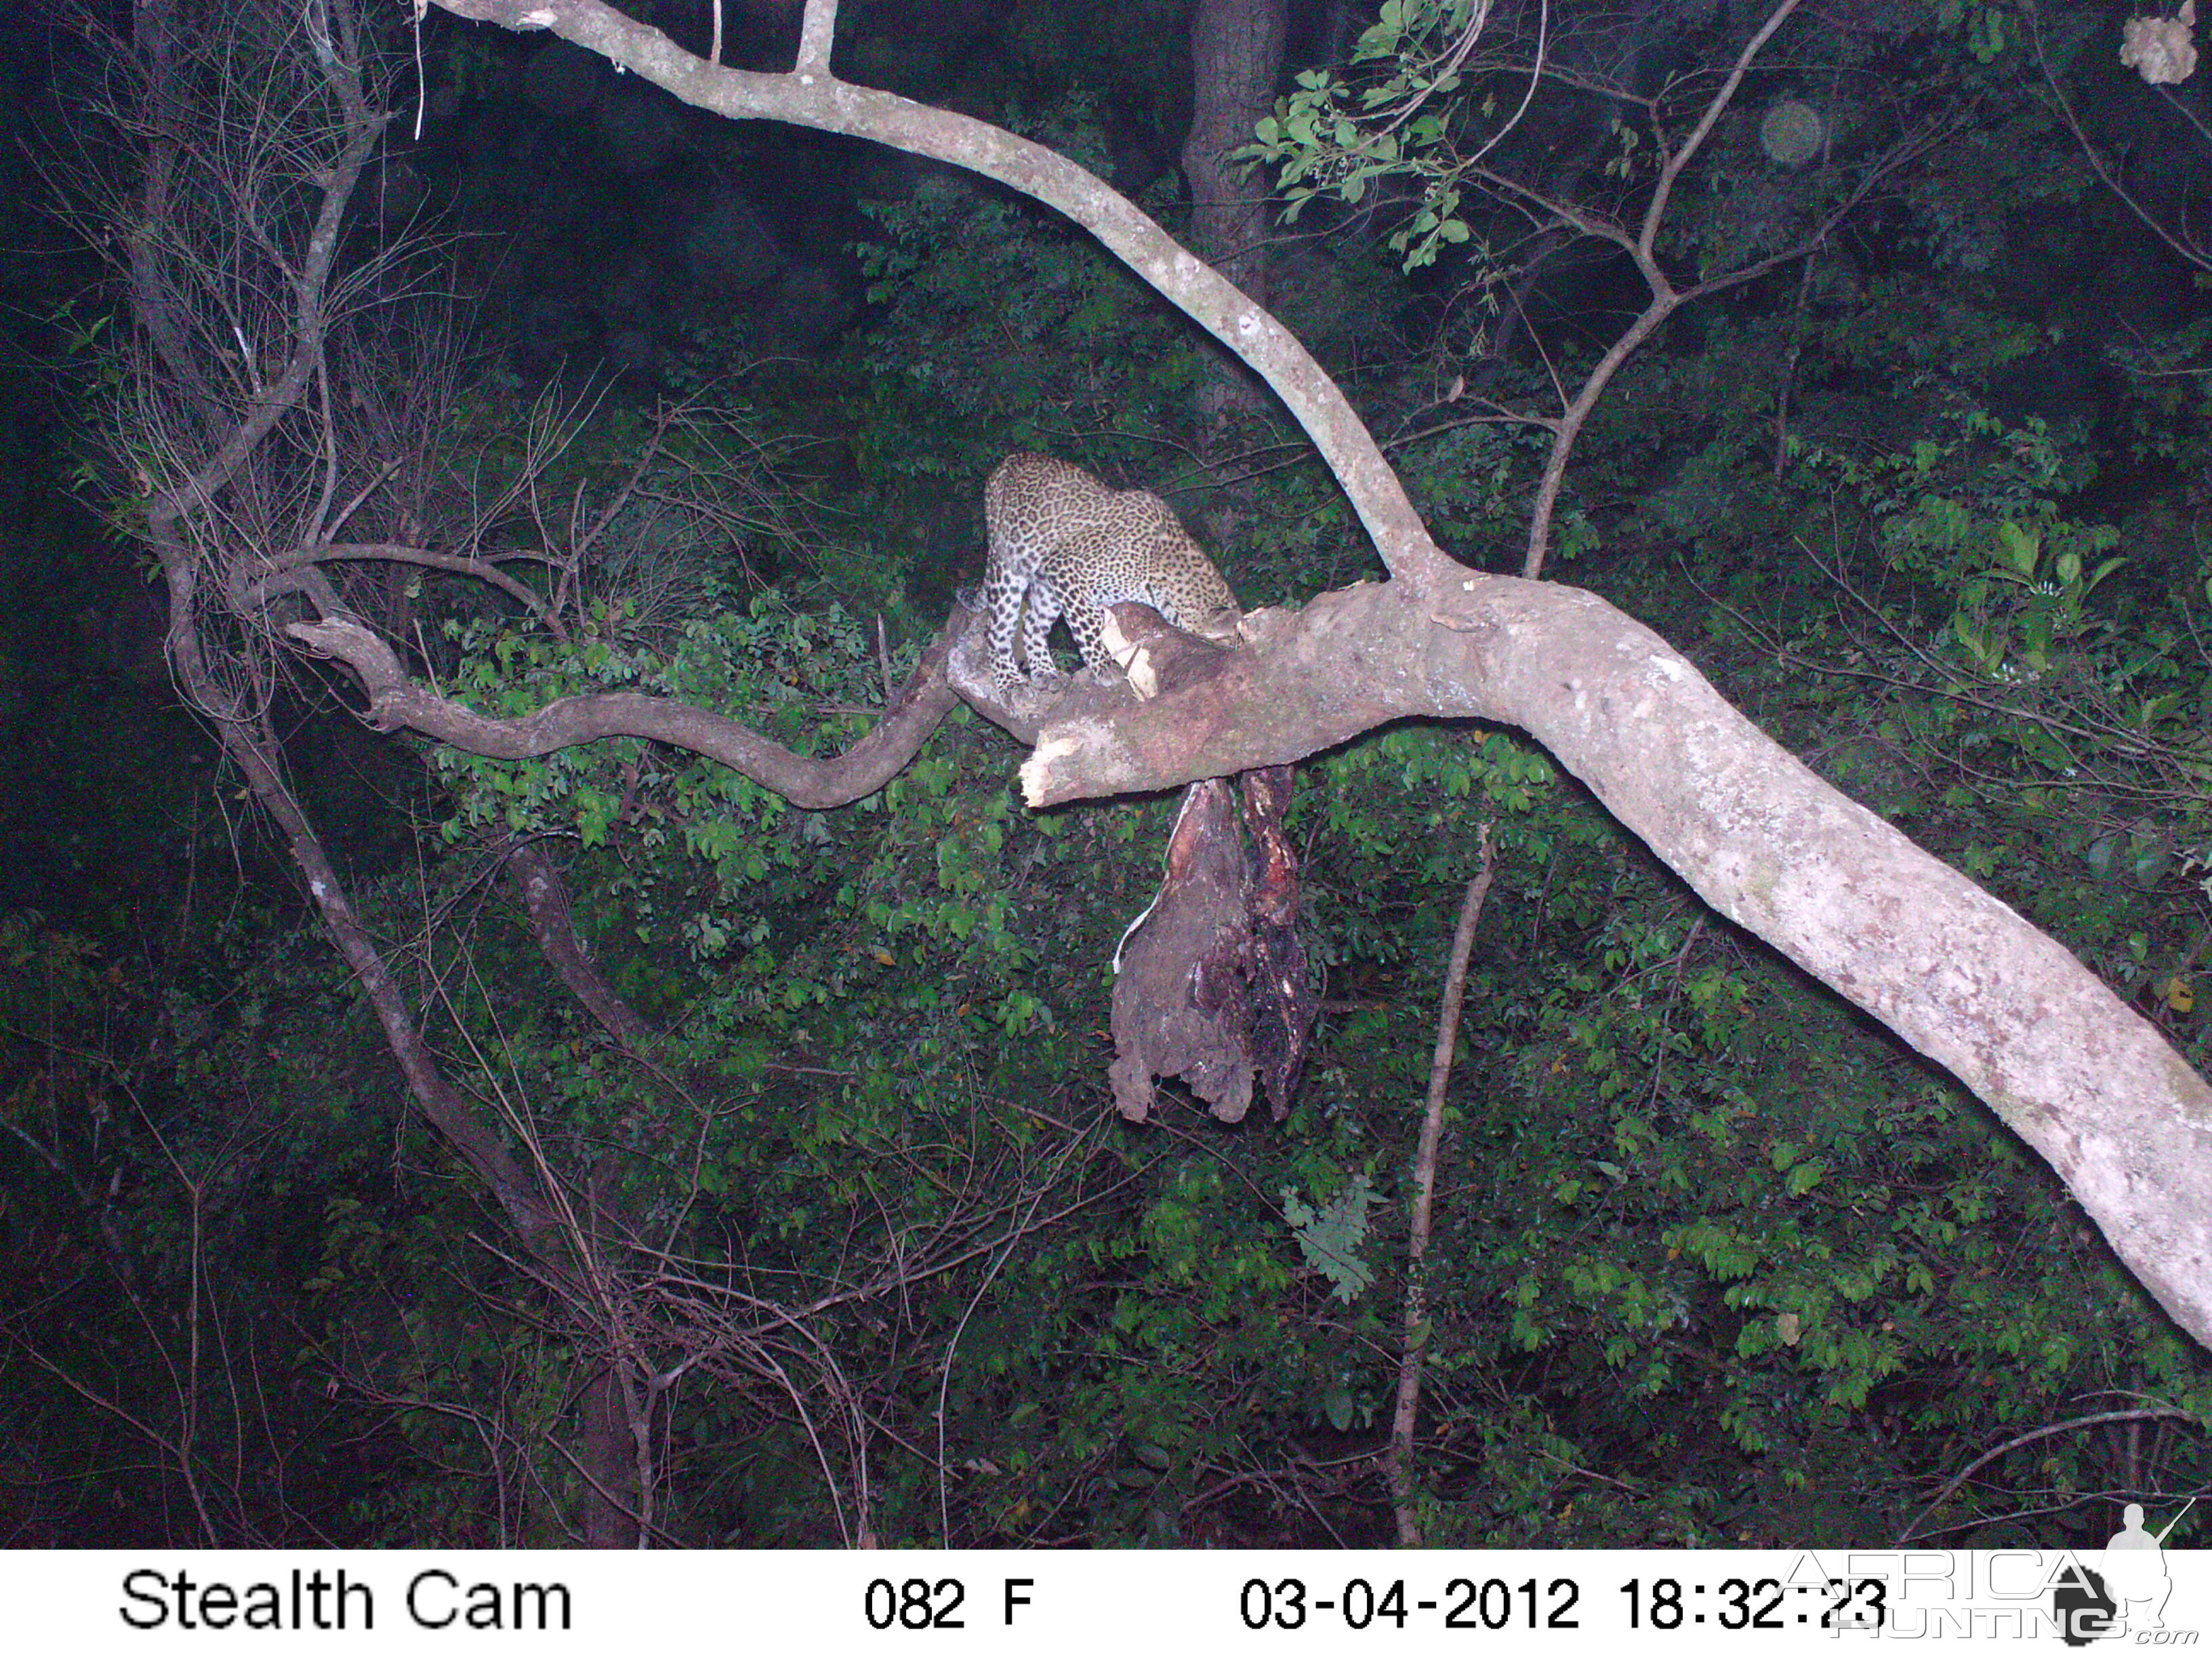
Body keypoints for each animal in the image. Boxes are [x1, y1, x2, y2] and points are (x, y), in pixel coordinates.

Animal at [982, 451, 1247, 699]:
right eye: (1226, 640)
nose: (1233, 653)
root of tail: (1013, 457)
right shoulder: (1064, 568)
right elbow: (1088, 624)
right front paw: (1104, 666)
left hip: (1046, 587)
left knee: (1032, 624)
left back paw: (1046, 672)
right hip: (1008, 565)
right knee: (997, 630)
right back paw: (1012, 683)